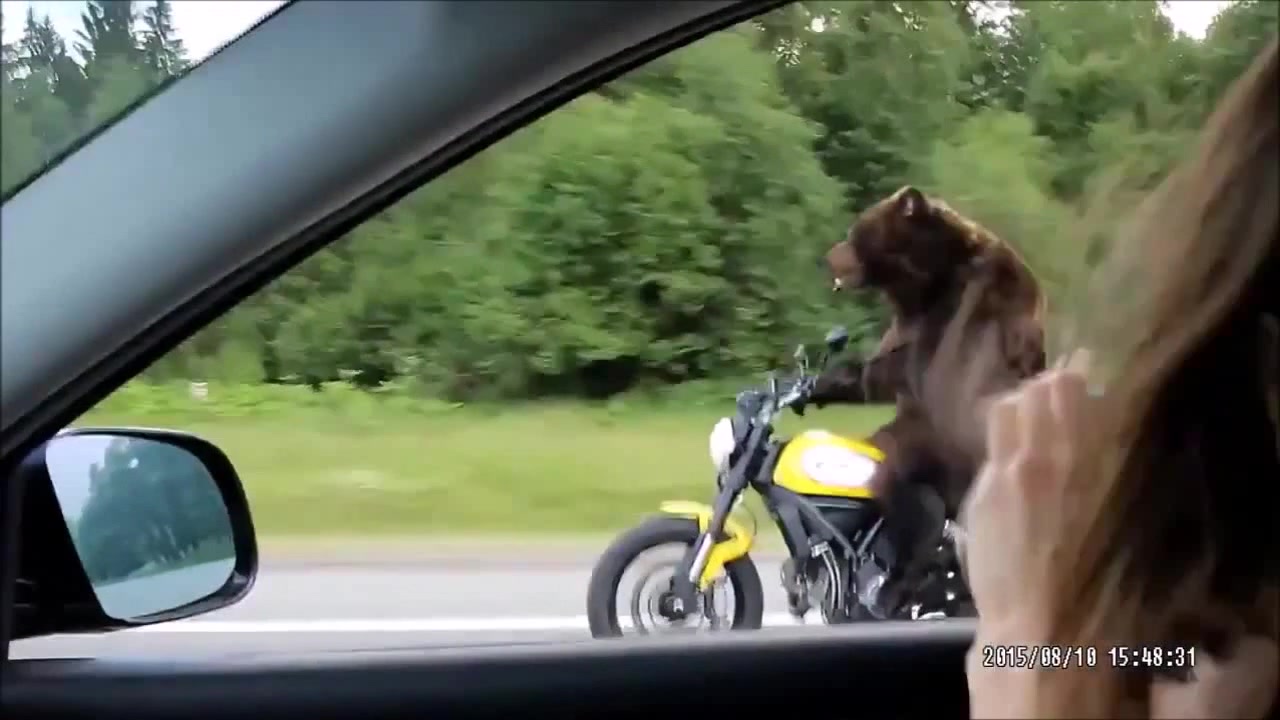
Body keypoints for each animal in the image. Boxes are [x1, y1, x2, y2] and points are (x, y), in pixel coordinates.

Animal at [810, 185, 1048, 612]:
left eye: (854, 230)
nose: (828, 255)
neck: (920, 283)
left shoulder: (958, 321)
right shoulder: (910, 330)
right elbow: (874, 375)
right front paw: (823, 382)